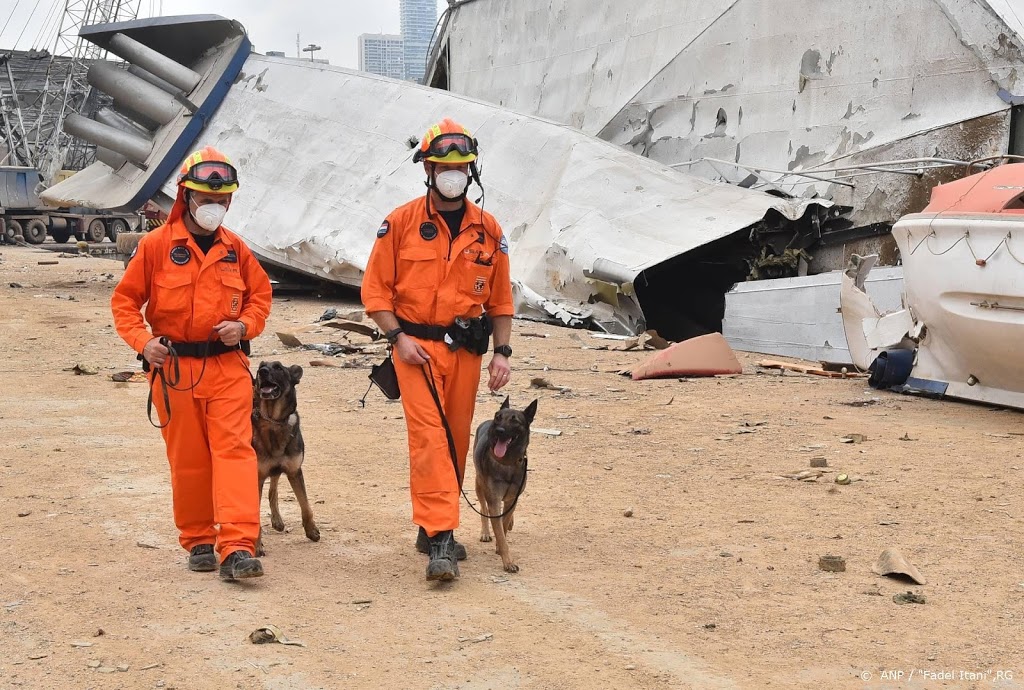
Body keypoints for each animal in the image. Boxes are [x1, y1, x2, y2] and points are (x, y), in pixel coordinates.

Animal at [249, 360, 317, 552]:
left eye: (278, 367)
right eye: (261, 366)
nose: (262, 372)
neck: (274, 421)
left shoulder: (295, 472)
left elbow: (305, 504)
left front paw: (312, 530)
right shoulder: (256, 477)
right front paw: (257, 544)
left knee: (273, 490)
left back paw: (277, 520)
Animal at [468, 395, 536, 573]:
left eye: (515, 421)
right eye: (498, 416)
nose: (499, 430)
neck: (507, 463)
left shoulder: (512, 498)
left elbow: (504, 525)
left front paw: (501, 542)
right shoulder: (494, 501)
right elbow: (497, 525)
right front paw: (508, 562)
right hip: (479, 484)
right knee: (482, 508)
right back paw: (485, 532)